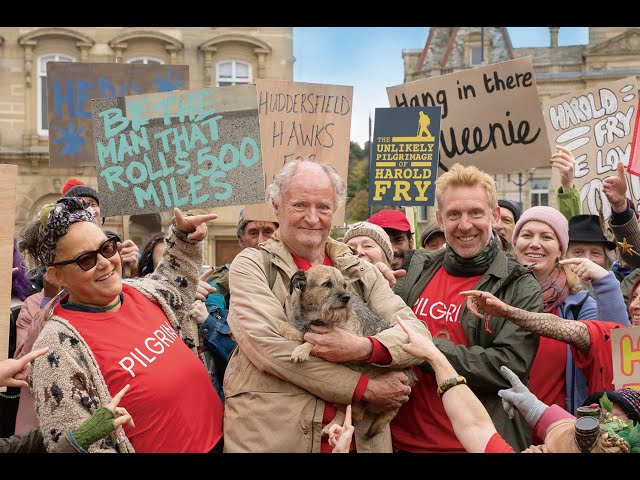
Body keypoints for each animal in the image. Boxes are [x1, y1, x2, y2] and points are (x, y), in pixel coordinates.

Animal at [280, 264, 416, 440]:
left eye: (344, 285)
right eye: (327, 284)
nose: (346, 298)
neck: (316, 316)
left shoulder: (349, 337)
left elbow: (314, 338)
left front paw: (302, 349)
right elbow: (285, 326)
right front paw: (294, 333)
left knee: (355, 411)